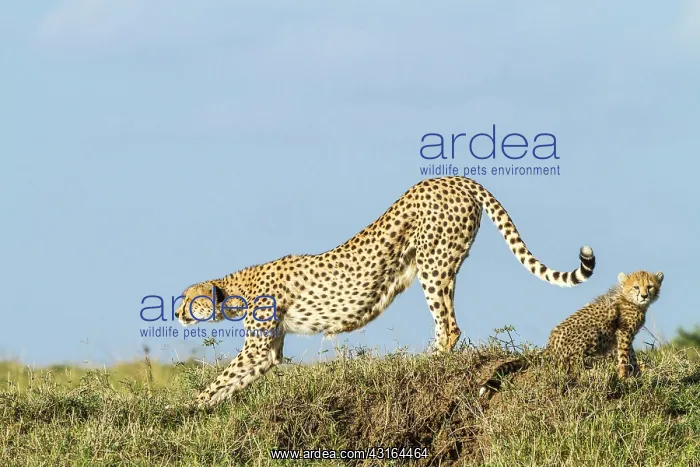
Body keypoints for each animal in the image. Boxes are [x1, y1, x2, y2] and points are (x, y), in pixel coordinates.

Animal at [173, 176, 596, 408]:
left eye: (189, 299)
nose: (176, 313)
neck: (236, 287)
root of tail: (454, 177)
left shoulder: (258, 346)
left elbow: (222, 378)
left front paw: (182, 408)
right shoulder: (268, 351)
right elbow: (233, 381)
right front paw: (198, 408)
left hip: (433, 263)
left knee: (449, 325)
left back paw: (425, 364)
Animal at [478, 270, 664, 398]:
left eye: (649, 286)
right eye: (636, 287)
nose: (644, 295)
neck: (632, 301)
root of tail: (550, 346)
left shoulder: (627, 335)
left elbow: (631, 356)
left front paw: (637, 374)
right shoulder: (624, 333)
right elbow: (624, 357)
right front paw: (625, 377)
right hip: (593, 331)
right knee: (571, 363)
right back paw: (592, 366)